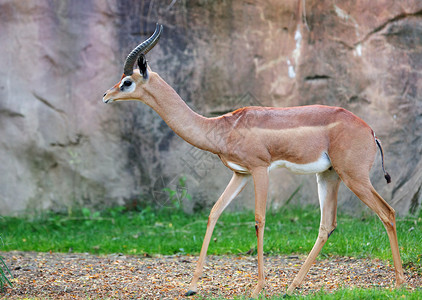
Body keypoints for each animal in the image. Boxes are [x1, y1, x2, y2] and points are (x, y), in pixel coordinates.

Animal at [102, 24, 406, 298]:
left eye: (127, 81)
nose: (105, 95)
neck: (222, 127)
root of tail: (370, 131)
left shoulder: (260, 170)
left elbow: (259, 219)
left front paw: (258, 287)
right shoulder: (241, 174)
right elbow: (214, 212)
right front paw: (191, 286)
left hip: (354, 177)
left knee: (387, 212)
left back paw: (400, 282)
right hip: (329, 176)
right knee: (327, 225)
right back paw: (291, 287)